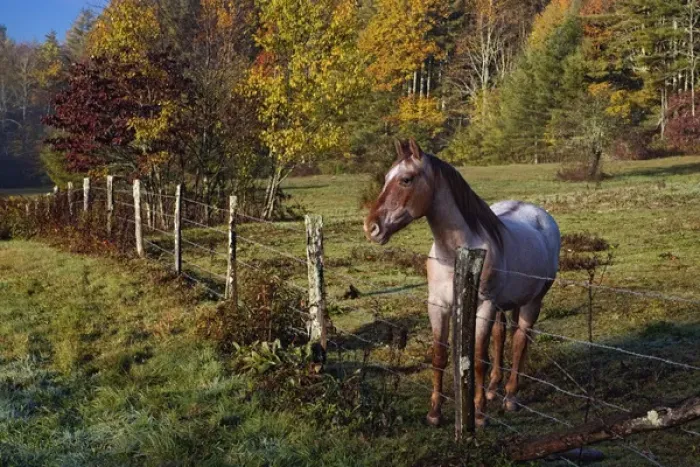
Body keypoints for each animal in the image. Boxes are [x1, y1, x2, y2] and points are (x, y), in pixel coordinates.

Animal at [363, 138, 560, 427]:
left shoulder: (484, 307)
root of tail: (541, 216)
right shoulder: (438, 305)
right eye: (386, 177)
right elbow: (440, 356)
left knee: (520, 342)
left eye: (406, 179)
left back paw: (510, 397)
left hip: (532, 303)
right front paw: (435, 413)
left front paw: (477, 415)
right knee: (502, 336)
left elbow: (478, 360)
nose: (371, 228)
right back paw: (493, 389)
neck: (455, 253)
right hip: (505, 305)